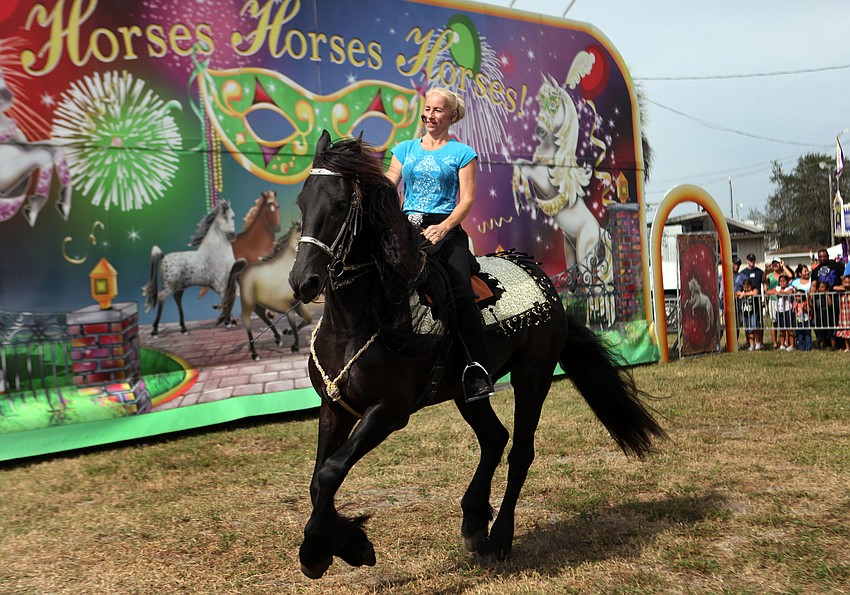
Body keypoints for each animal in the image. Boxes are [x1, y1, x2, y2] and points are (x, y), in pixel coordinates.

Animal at [0, 68, 73, 226]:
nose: (7, 95)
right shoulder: (5, 175)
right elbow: (46, 153)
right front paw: (34, 208)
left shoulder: (22, 145)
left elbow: (54, 147)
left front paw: (64, 203)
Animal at [142, 200, 236, 336]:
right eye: (228, 217)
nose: (233, 236)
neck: (215, 253)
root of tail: (164, 257)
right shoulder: (220, 285)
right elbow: (225, 300)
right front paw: (228, 322)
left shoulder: (224, 285)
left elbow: (226, 300)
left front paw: (229, 322)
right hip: (170, 287)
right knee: (161, 297)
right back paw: (155, 330)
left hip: (179, 288)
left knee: (177, 300)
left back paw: (183, 329)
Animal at [218, 221, 312, 360]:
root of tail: (241, 273)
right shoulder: (284, 306)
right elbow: (294, 322)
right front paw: (295, 346)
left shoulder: (296, 304)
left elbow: (307, 319)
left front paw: (288, 334)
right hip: (248, 301)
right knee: (246, 318)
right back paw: (255, 353)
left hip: (256, 302)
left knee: (261, 313)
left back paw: (278, 339)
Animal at [288, 130, 666, 579]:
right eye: (302, 200)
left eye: (342, 204)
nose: (303, 281)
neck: (358, 323)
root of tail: (548, 286)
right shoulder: (335, 407)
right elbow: (318, 479)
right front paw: (340, 545)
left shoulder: (387, 412)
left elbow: (330, 471)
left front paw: (326, 550)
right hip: (465, 390)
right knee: (494, 437)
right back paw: (473, 521)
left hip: (533, 376)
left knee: (520, 451)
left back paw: (499, 537)